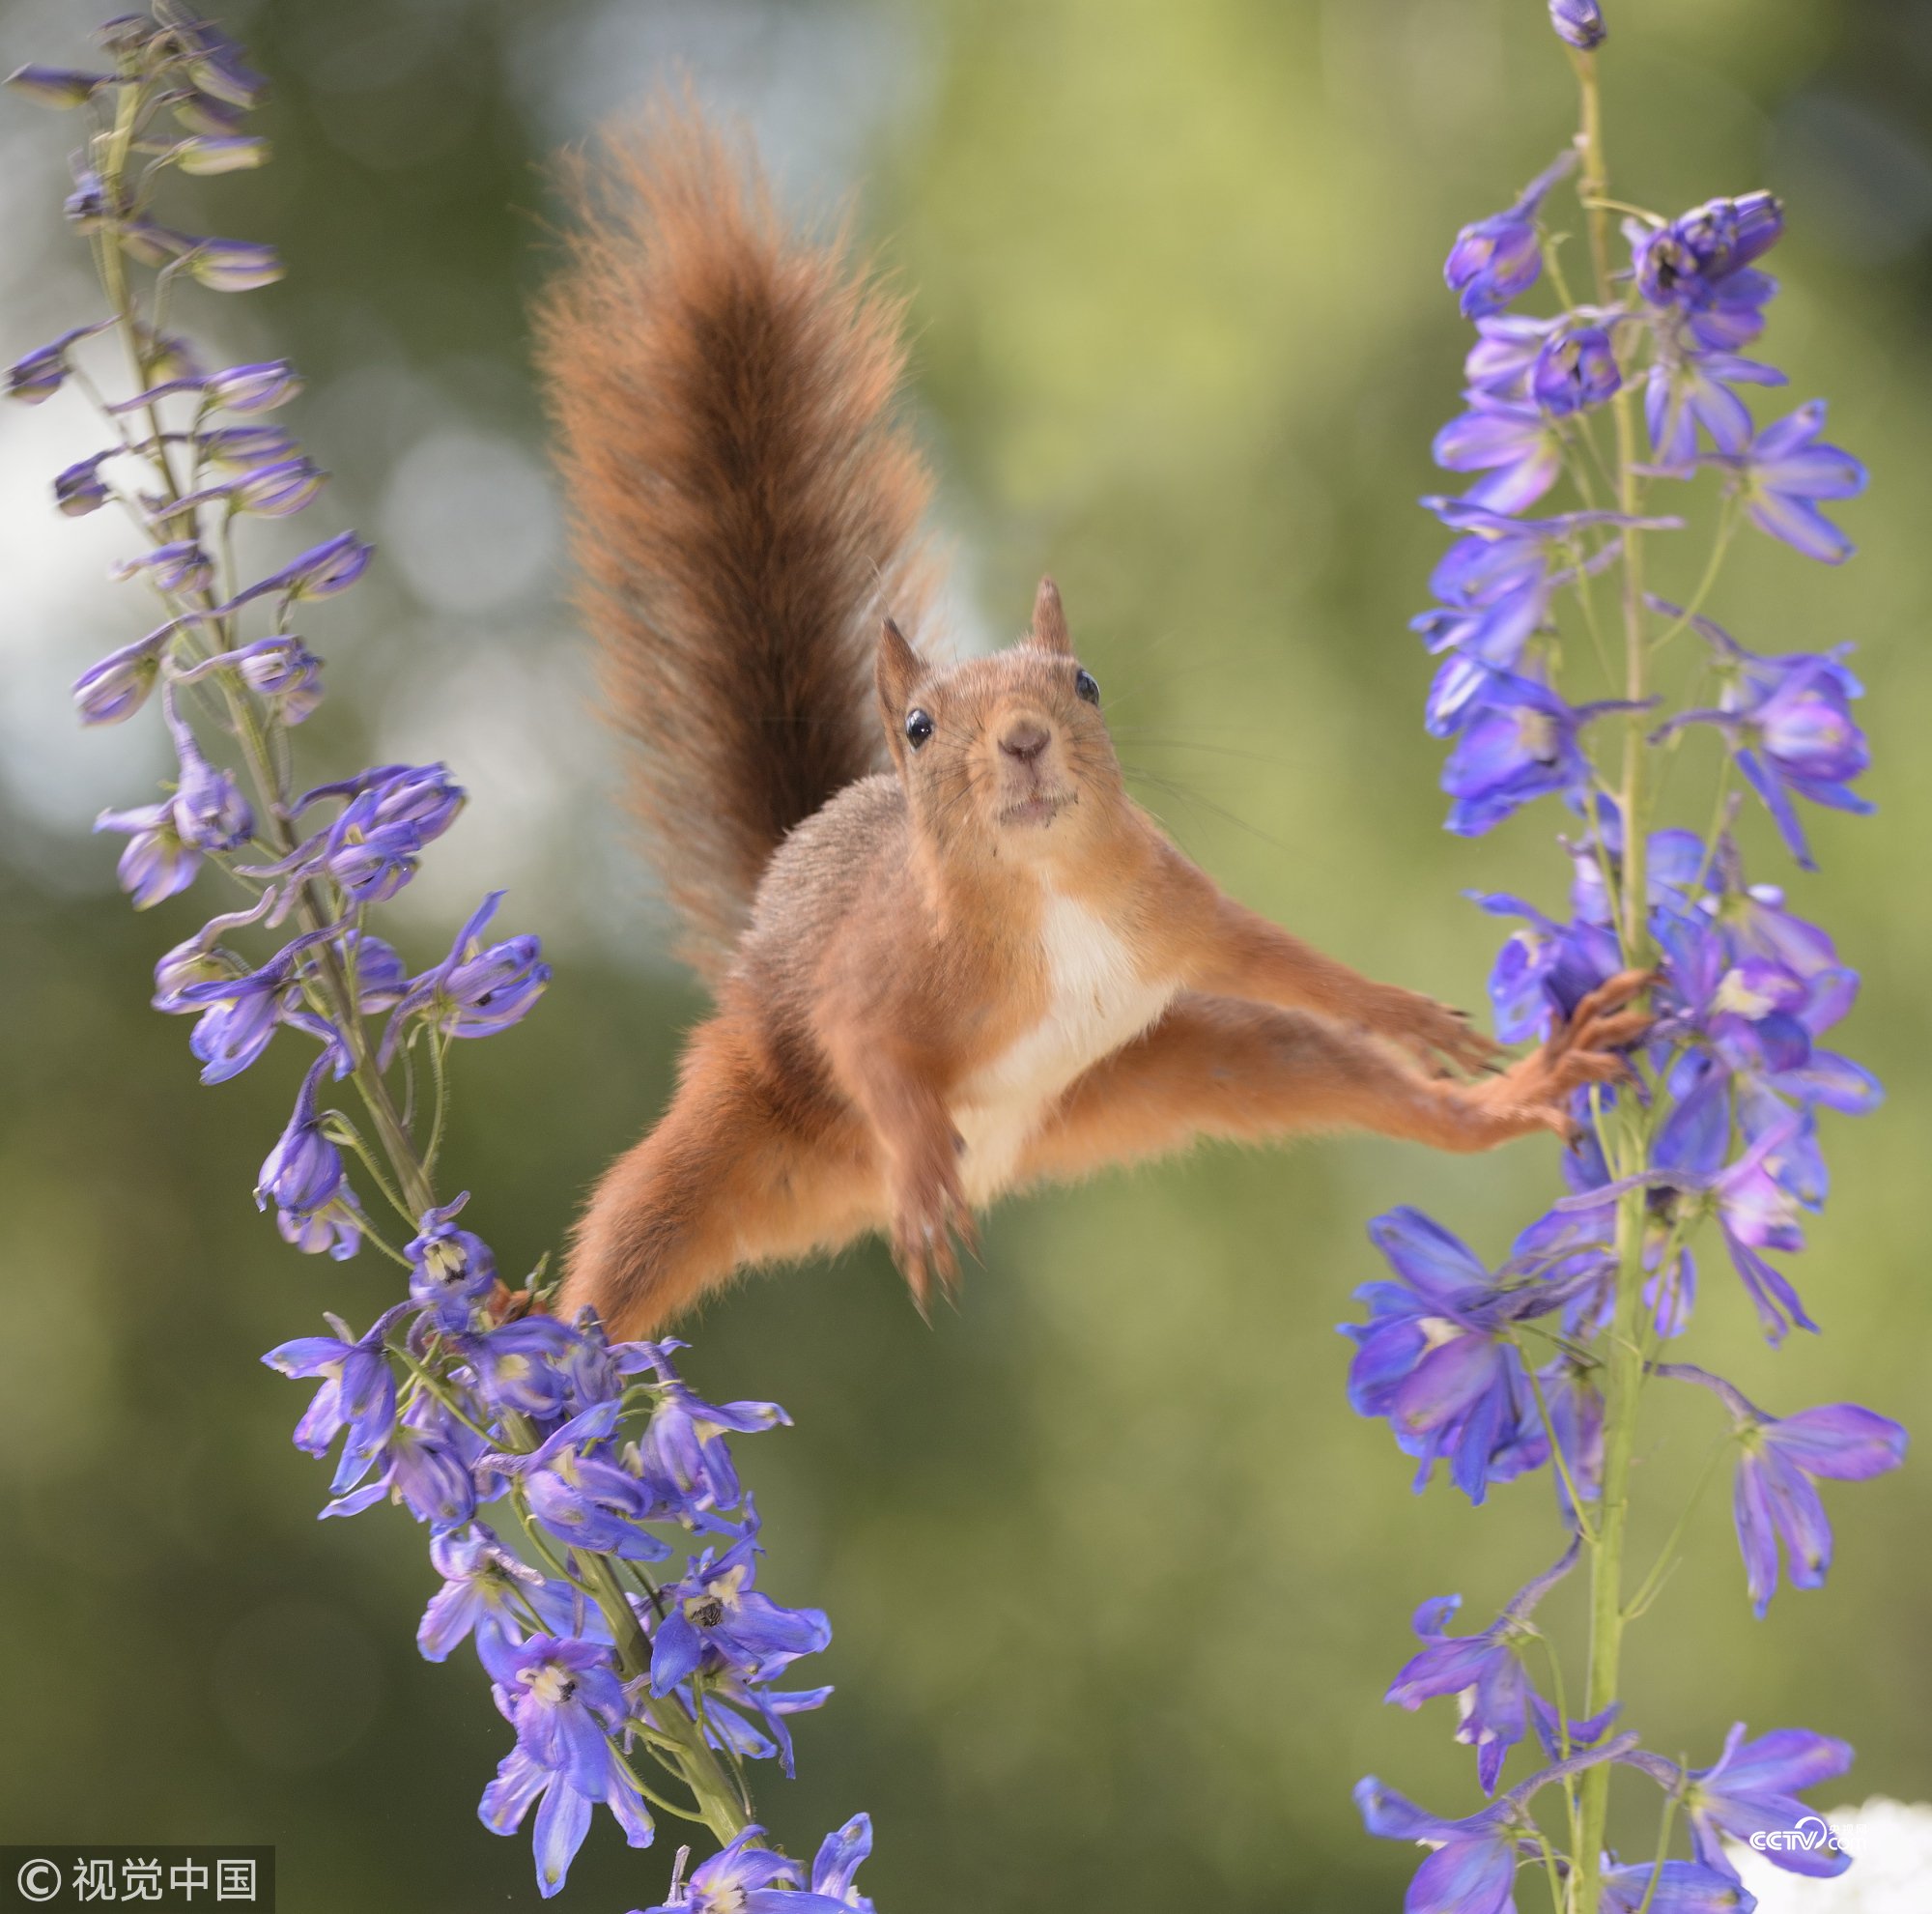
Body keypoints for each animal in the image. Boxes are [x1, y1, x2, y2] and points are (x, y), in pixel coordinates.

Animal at [534, 107, 1648, 1342]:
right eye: (917, 727)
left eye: (1085, 681)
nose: (1022, 738)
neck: (1049, 895)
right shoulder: (871, 970)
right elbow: (868, 1044)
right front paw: (920, 1168)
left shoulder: (1182, 908)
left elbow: (1286, 959)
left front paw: (1407, 1013)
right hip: (732, 1119)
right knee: (631, 1238)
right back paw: (540, 1352)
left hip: (1183, 1063)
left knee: (1340, 1071)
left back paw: (1521, 1090)